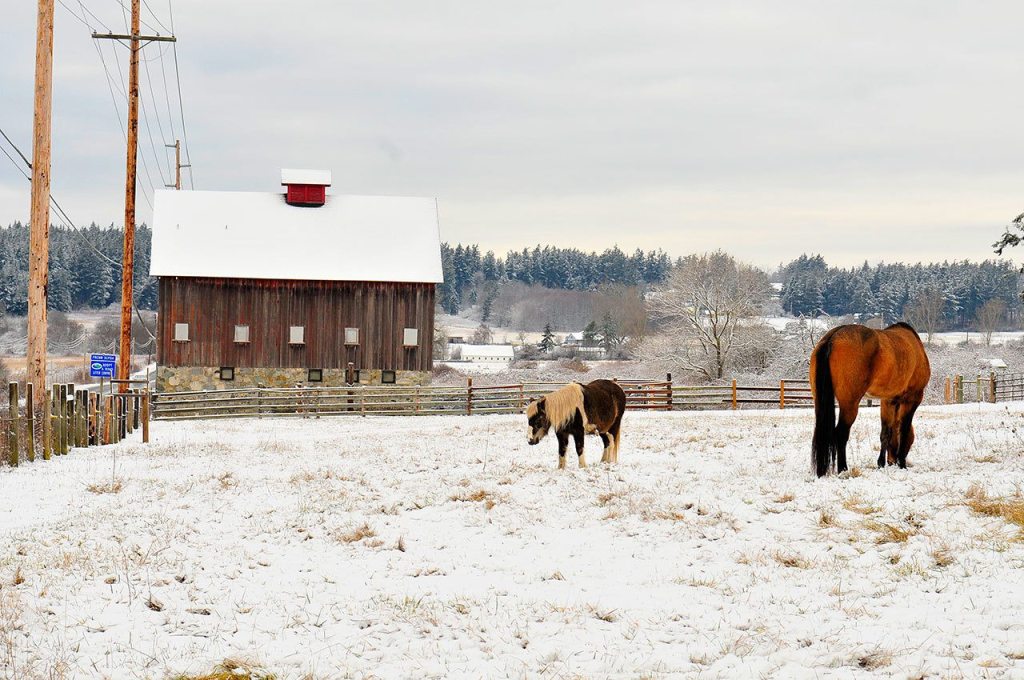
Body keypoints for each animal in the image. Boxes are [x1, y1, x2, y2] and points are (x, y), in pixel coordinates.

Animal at [810, 322, 930, 477]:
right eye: (912, 439)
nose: (893, 460)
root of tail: (833, 337)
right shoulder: (912, 399)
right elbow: (903, 429)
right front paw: (902, 464)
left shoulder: (888, 401)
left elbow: (886, 432)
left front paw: (881, 463)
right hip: (849, 404)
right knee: (841, 434)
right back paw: (843, 469)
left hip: (819, 401)